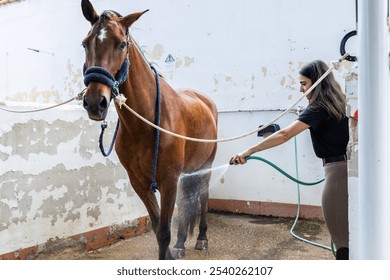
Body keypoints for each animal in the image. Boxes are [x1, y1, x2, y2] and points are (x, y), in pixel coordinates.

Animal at [80, 0, 218, 260]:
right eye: (85, 43)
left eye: (122, 44)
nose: (95, 102)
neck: (145, 124)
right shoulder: (140, 183)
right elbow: (157, 227)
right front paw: (171, 252)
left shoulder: (168, 180)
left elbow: (164, 231)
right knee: (187, 202)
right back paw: (181, 243)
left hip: (206, 166)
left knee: (202, 199)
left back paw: (202, 238)